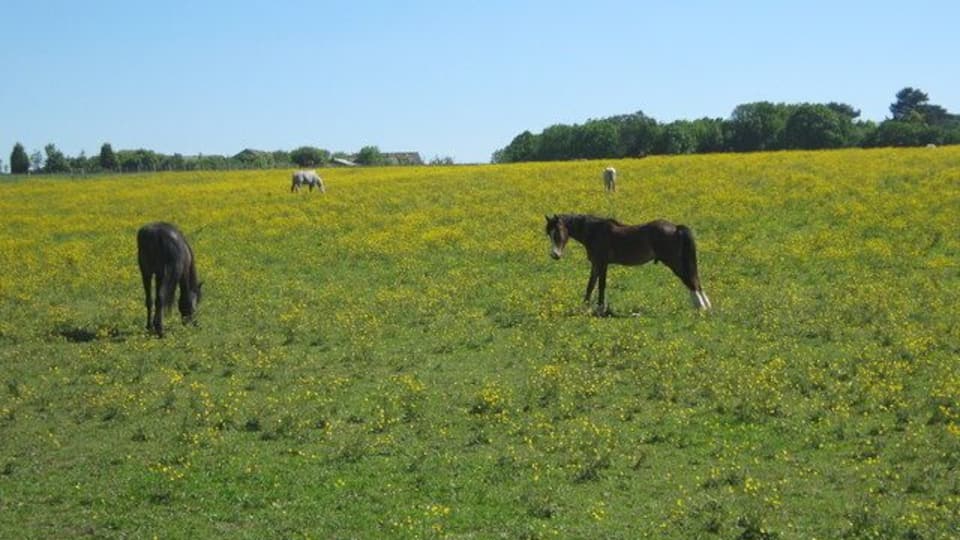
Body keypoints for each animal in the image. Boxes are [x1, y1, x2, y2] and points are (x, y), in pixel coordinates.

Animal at [545, 214, 711, 314]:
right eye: (549, 234)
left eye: (558, 232)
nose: (555, 255)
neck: (595, 232)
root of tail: (676, 228)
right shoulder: (597, 264)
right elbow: (590, 285)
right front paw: (585, 308)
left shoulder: (602, 263)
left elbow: (600, 285)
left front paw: (599, 309)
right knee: (695, 280)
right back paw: (705, 307)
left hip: (673, 262)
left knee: (691, 281)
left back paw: (701, 307)